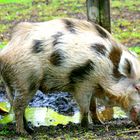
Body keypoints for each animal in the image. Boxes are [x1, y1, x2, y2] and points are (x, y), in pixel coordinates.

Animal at [0, 18, 140, 134]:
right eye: (137, 88)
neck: (107, 68)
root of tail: (5, 53)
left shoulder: (92, 84)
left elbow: (93, 106)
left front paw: (100, 123)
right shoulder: (83, 83)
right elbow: (84, 107)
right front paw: (88, 127)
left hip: (14, 83)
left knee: (16, 104)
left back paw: (30, 129)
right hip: (26, 80)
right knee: (18, 106)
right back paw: (23, 133)